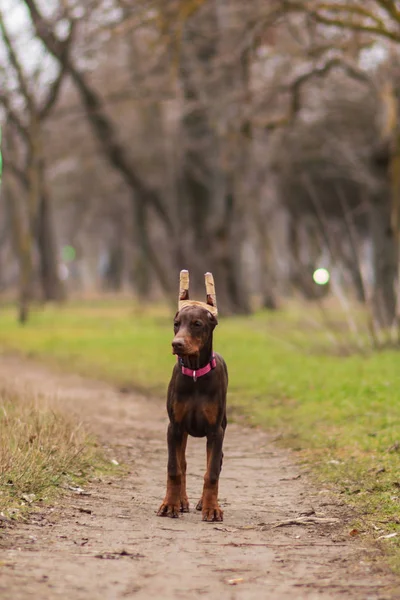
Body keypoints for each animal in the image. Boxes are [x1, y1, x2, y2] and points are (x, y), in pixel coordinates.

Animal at [159, 270, 228, 520]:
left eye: (197, 324)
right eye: (176, 324)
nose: (176, 344)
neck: (196, 375)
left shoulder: (215, 431)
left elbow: (212, 473)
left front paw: (211, 508)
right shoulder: (174, 427)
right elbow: (174, 468)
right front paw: (170, 504)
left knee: (215, 464)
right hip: (182, 432)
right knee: (183, 464)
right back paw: (181, 501)